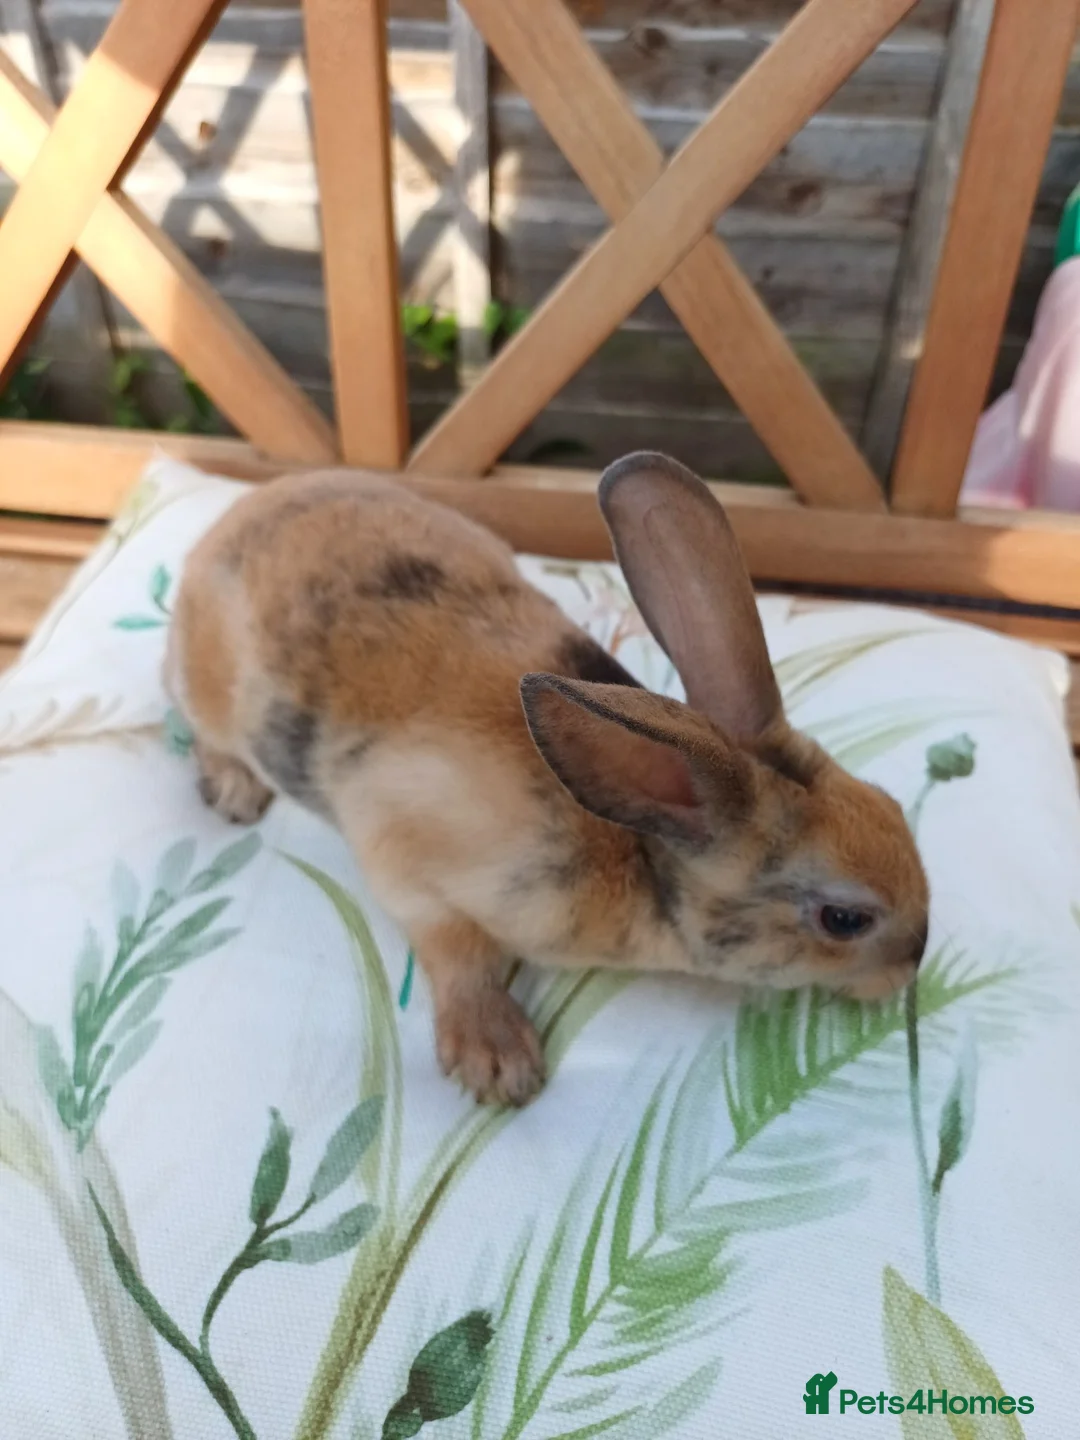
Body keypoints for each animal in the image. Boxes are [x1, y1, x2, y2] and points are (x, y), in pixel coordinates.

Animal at [165, 451, 929, 1107]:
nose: (913, 966)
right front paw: (497, 1058)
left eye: (893, 806)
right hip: (210, 698)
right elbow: (456, 949)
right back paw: (234, 790)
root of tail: (230, 523)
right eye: (844, 919)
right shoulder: (405, 854)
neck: (636, 846)